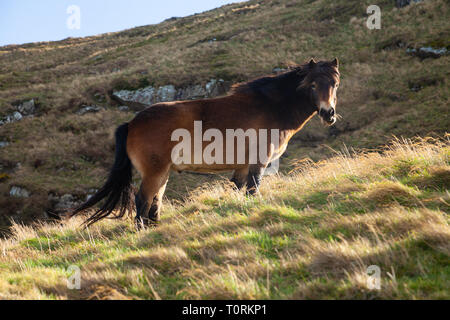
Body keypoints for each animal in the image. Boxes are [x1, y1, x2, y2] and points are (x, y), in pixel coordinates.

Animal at [72, 58, 342, 228]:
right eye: (313, 84)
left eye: (335, 84)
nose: (328, 113)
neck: (271, 106)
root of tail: (132, 123)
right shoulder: (258, 161)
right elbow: (253, 189)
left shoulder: (242, 165)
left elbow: (238, 189)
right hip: (154, 172)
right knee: (143, 200)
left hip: (162, 173)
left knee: (155, 203)